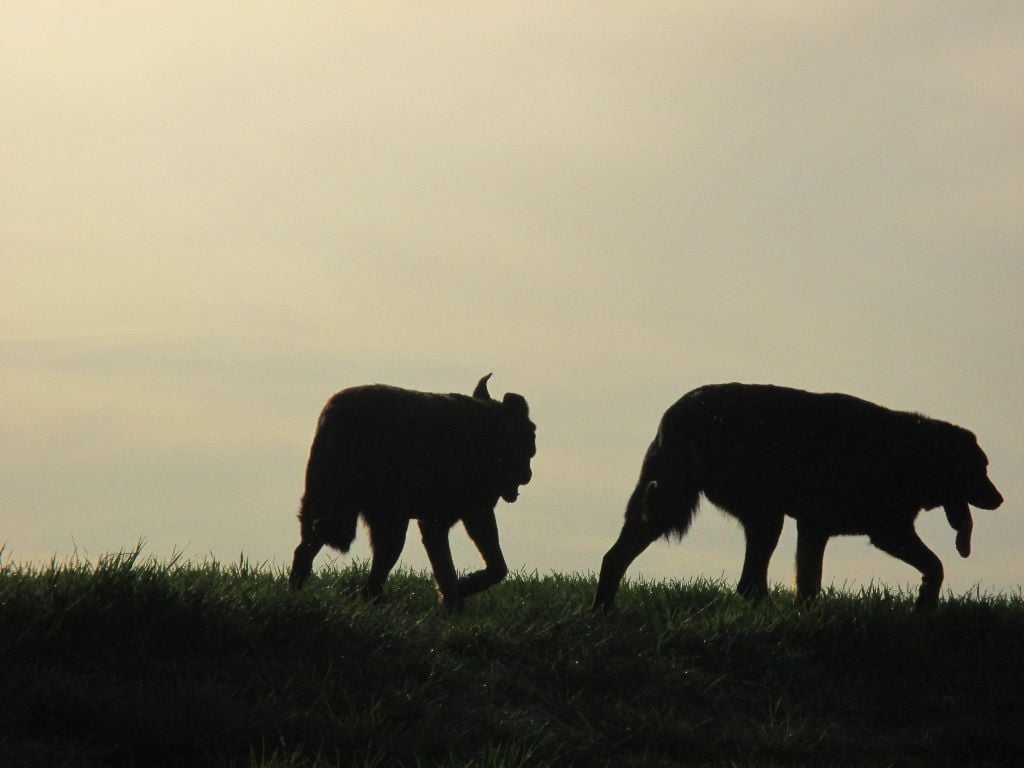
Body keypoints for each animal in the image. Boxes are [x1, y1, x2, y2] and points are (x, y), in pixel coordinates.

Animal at [290, 376, 536, 610]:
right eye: (531, 442)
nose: (529, 475)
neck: (491, 432)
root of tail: (342, 414)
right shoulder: (473, 514)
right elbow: (496, 567)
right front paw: (463, 589)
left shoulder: (436, 524)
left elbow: (449, 571)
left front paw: (452, 604)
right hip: (391, 522)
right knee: (372, 582)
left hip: (320, 503)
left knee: (305, 552)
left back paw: (295, 595)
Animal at [598, 387, 1003, 610]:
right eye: (979, 468)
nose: (1000, 500)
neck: (913, 452)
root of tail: (677, 414)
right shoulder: (889, 531)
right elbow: (935, 565)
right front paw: (925, 605)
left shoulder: (813, 528)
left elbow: (809, 583)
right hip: (761, 516)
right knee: (749, 584)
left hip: (663, 510)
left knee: (613, 557)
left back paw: (603, 612)